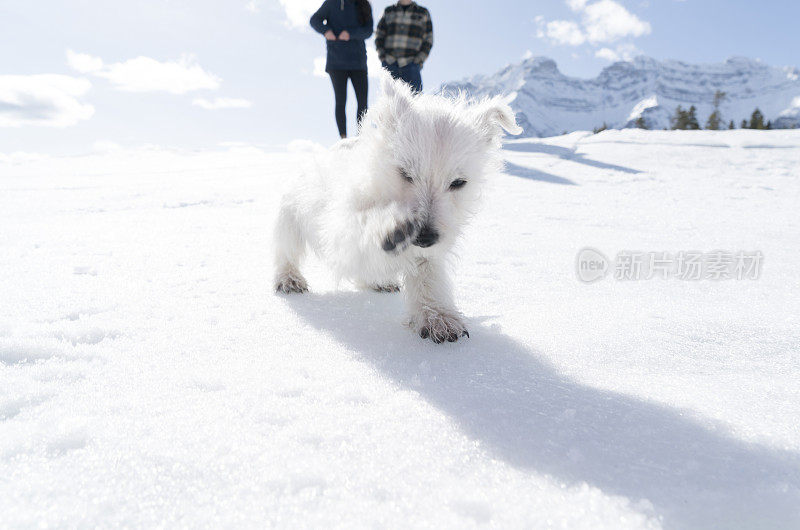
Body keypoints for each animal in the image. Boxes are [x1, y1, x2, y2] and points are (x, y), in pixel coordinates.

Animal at [276, 72, 520, 340]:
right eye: (405, 173)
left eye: (458, 182)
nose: (424, 236)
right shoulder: (339, 228)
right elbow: (362, 226)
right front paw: (390, 227)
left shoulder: (431, 248)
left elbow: (428, 274)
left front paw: (437, 316)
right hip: (290, 221)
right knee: (286, 253)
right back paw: (289, 279)